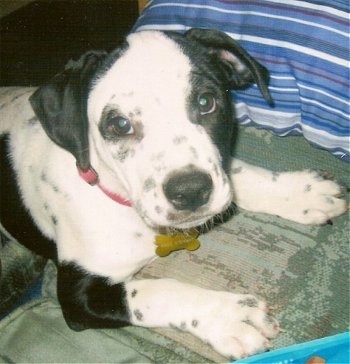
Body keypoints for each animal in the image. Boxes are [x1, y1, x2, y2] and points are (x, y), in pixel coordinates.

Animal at [0, 29, 346, 360]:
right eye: (119, 124)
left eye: (206, 102)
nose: (190, 191)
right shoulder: (77, 295)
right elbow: (156, 291)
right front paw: (229, 317)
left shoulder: (220, 170)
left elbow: (237, 172)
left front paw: (301, 192)